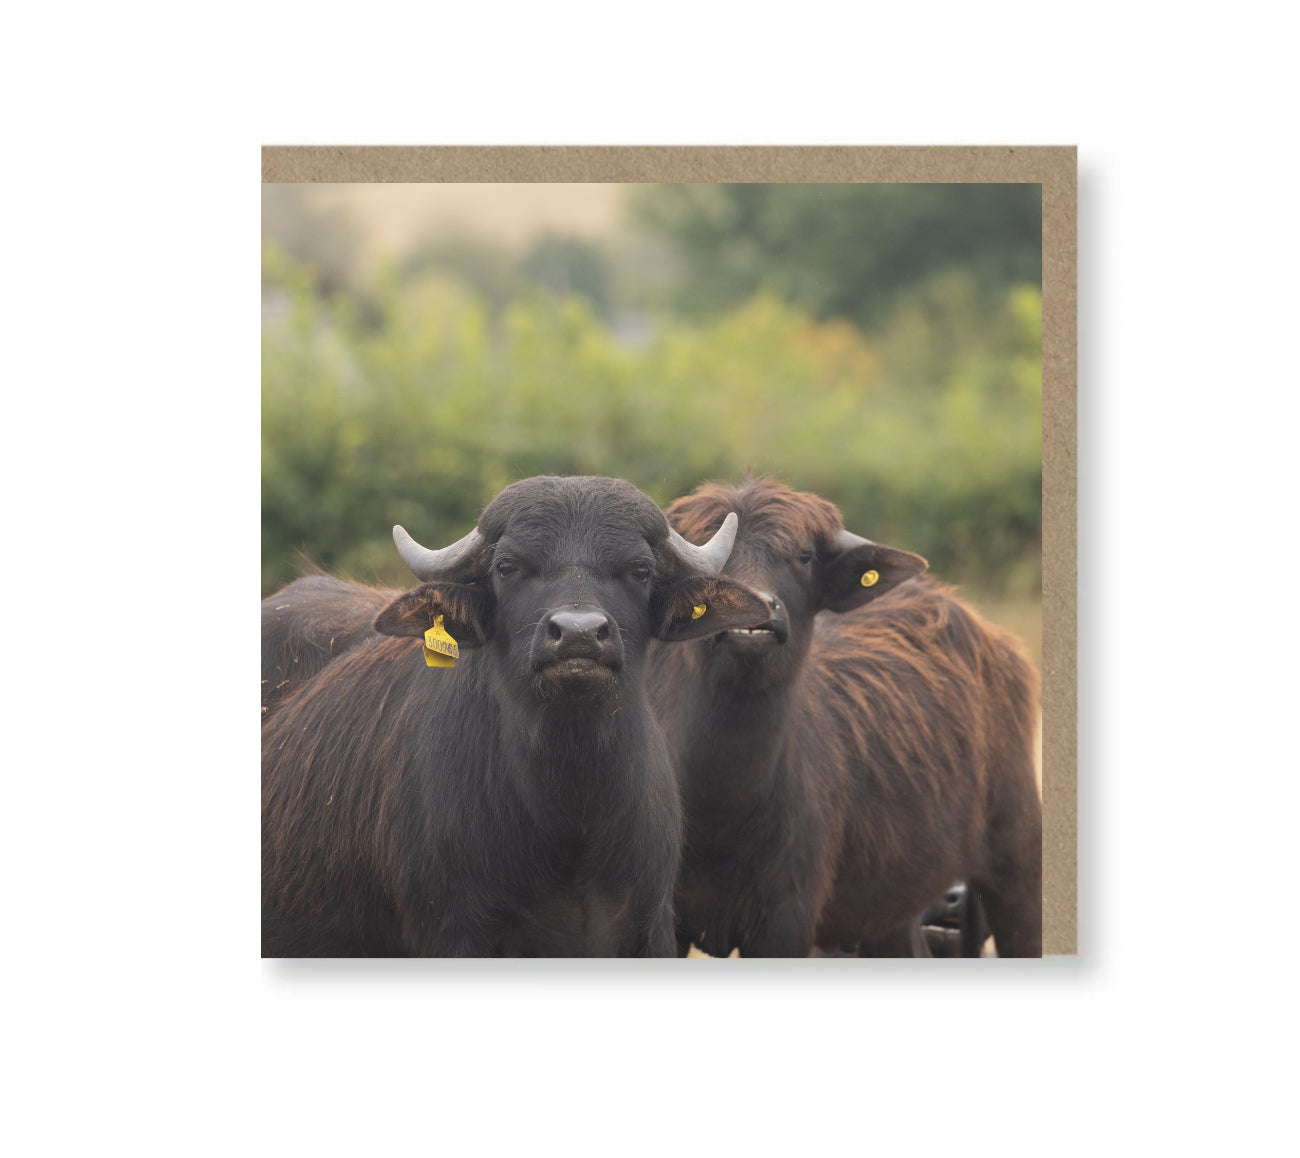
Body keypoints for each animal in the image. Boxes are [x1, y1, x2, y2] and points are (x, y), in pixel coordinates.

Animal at [261, 475, 772, 957]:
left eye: (641, 569)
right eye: (507, 567)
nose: (579, 635)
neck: (572, 817)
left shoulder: (652, 927)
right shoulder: (453, 932)